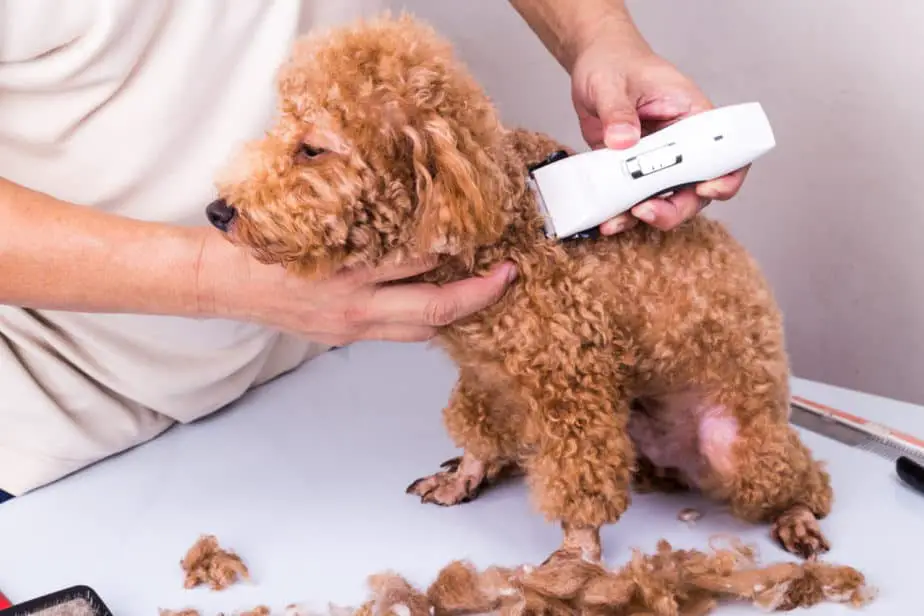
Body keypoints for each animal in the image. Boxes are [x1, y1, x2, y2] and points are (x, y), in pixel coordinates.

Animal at [213, 13, 832, 564]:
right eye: (277, 129)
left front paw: (578, 552)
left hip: (737, 447)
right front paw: (466, 475)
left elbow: (581, 474)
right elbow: (480, 431)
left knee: (808, 480)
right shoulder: (489, 374)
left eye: (311, 149)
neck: (508, 206)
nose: (218, 212)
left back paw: (797, 517)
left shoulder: (571, 380)